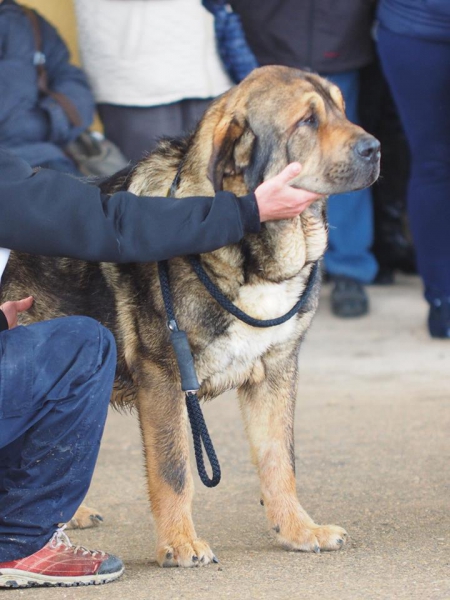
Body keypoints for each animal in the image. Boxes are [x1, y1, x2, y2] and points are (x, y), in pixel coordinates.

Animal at [0, 65, 380, 568]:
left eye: (341, 108)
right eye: (307, 121)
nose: (375, 148)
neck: (253, 257)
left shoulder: (276, 370)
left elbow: (280, 460)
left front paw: (298, 530)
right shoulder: (164, 376)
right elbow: (174, 468)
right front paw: (179, 542)